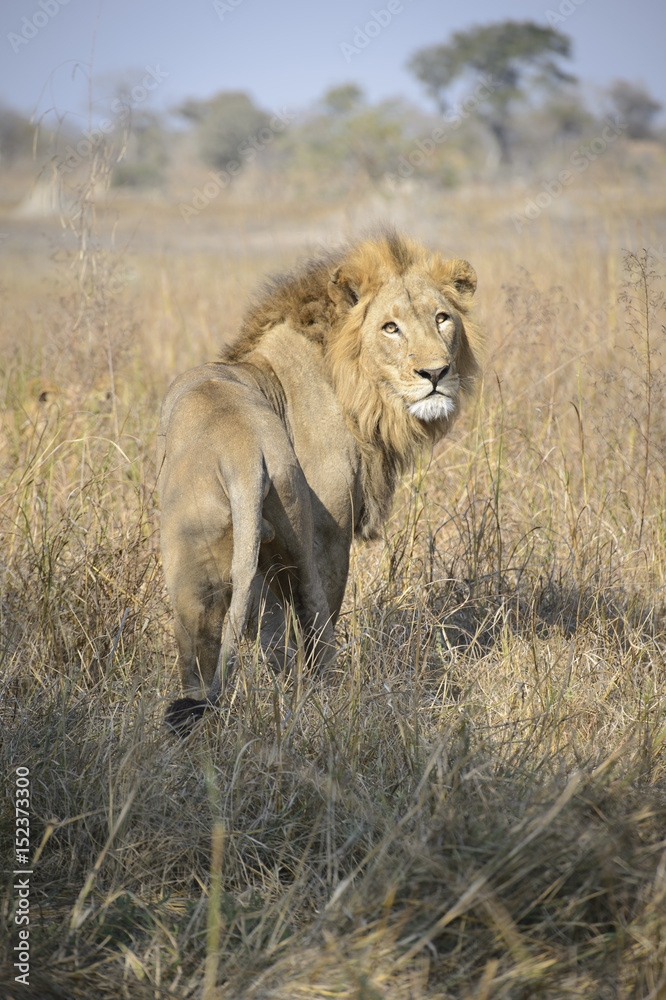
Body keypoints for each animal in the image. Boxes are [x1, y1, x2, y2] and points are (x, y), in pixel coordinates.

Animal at [157, 229, 478, 728]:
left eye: (442, 318)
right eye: (390, 327)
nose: (436, 373)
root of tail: (241, 451)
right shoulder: (330, 529)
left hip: (199, 556)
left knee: (212, 641)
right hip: (298, 532)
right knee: (311, 617)